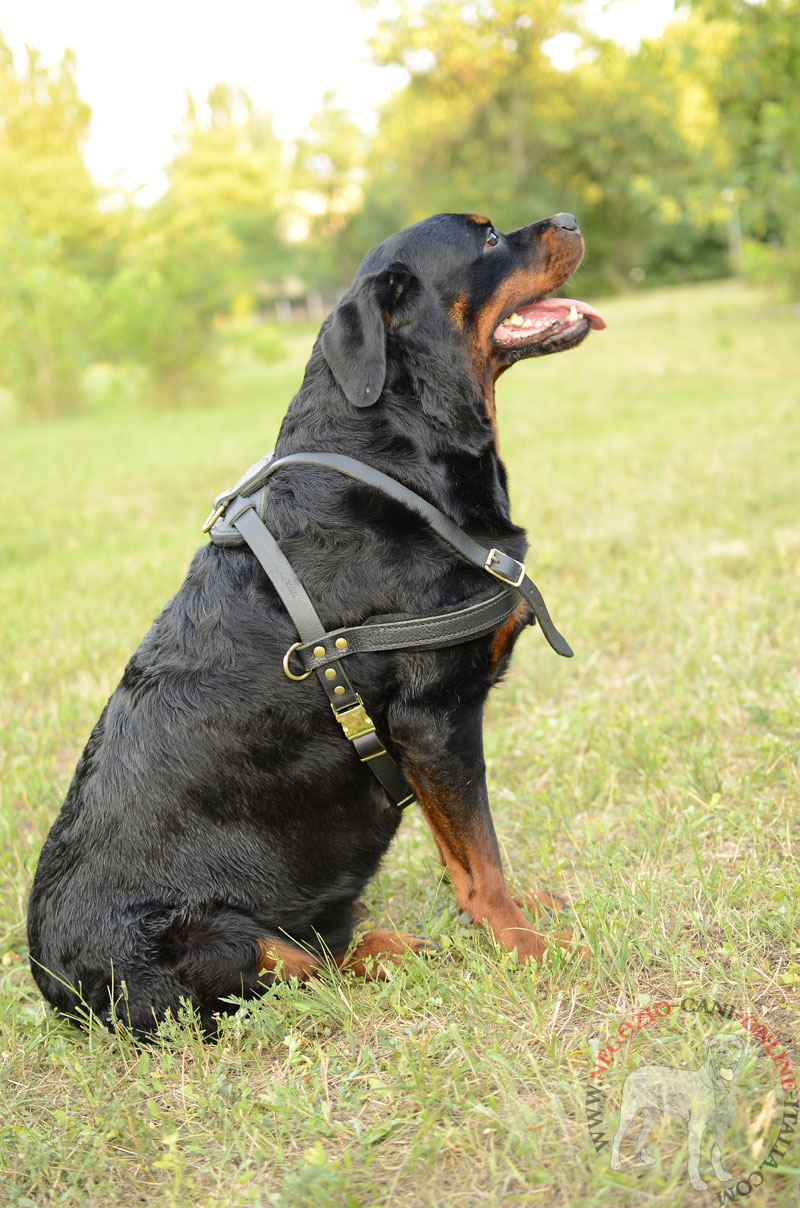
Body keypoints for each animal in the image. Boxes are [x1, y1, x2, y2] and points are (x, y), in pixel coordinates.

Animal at [26, 210, 609, 1038]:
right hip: (219, 937)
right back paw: (391, 947)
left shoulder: (424, 737)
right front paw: (525, 943)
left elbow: (465, 853)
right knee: (302, 967)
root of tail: (54, 990)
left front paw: (513, 917)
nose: (568, 219)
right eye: (490, 238)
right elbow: (482, 857)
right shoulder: (435, 719)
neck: (396, 459)